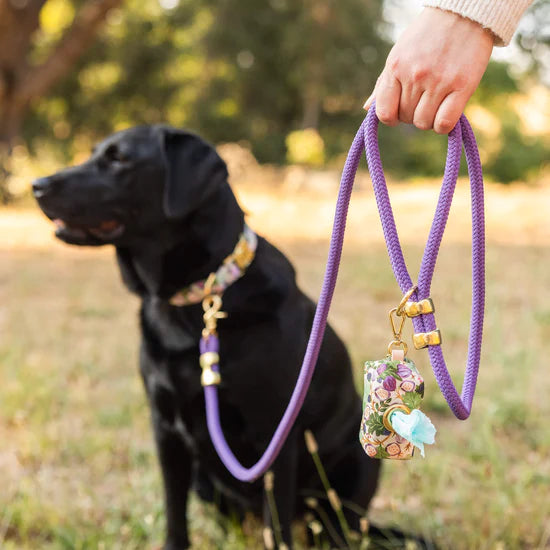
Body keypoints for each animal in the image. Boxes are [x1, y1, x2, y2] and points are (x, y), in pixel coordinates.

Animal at [32, 127, 382, 548]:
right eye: (95, 153)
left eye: (119, 160)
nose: (37, 185)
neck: (198, 300)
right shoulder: (166, 429)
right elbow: (174, 512)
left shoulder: (274, 436)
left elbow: (277, 525)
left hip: (358, 465)